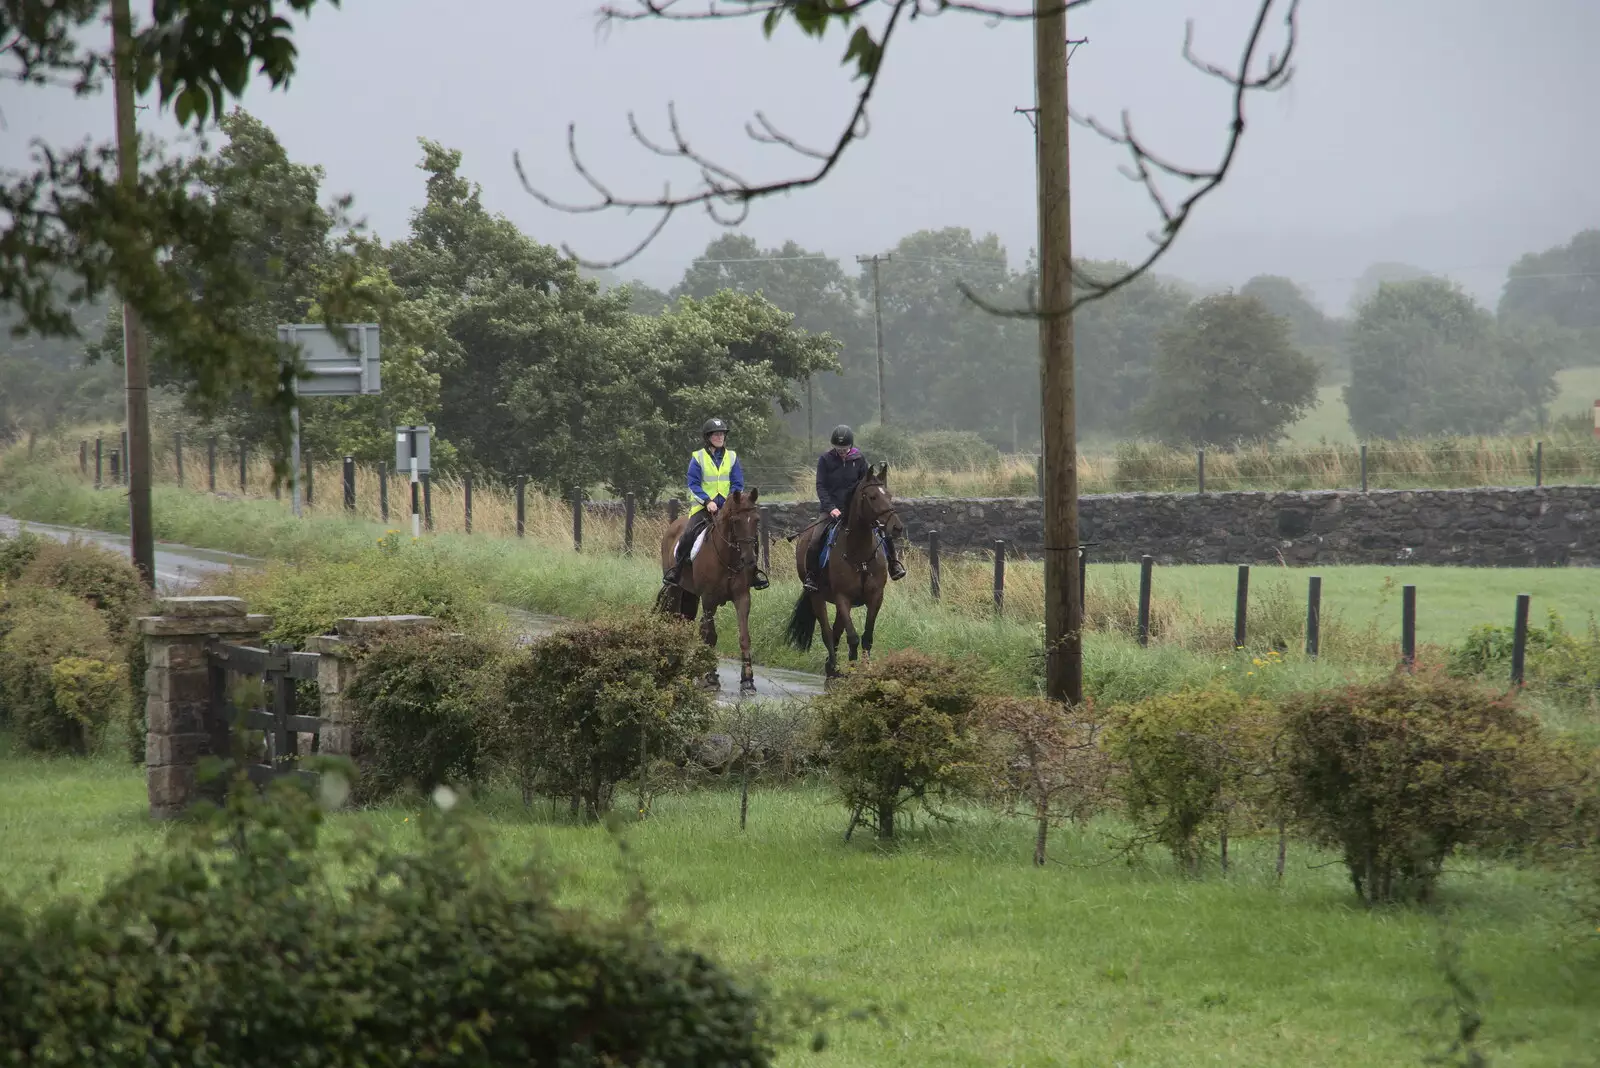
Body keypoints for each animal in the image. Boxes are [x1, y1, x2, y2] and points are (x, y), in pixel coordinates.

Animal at [659, 489, 764, 697]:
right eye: (736, 521)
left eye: (756, 520)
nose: (749, 560)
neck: (728, 557)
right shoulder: (709, 600)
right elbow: (710, 637)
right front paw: (710, 678)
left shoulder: (742, 598)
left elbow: (744, 637)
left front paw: (747, 680)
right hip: (675, 589)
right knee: (675, 620)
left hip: (690, 594)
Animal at [784, 463, 908, 681]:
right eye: (873, 497)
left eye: (889, 495)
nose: (897, 527)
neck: (860, 554)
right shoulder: (843, 598)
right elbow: (853, 637)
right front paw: (850, 670)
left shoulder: (876, 597)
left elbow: (866, 637)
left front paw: (864, 669)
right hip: (818, 597)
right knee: (827, 631)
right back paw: (833, 667)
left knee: (835, 631)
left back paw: (831, 666)